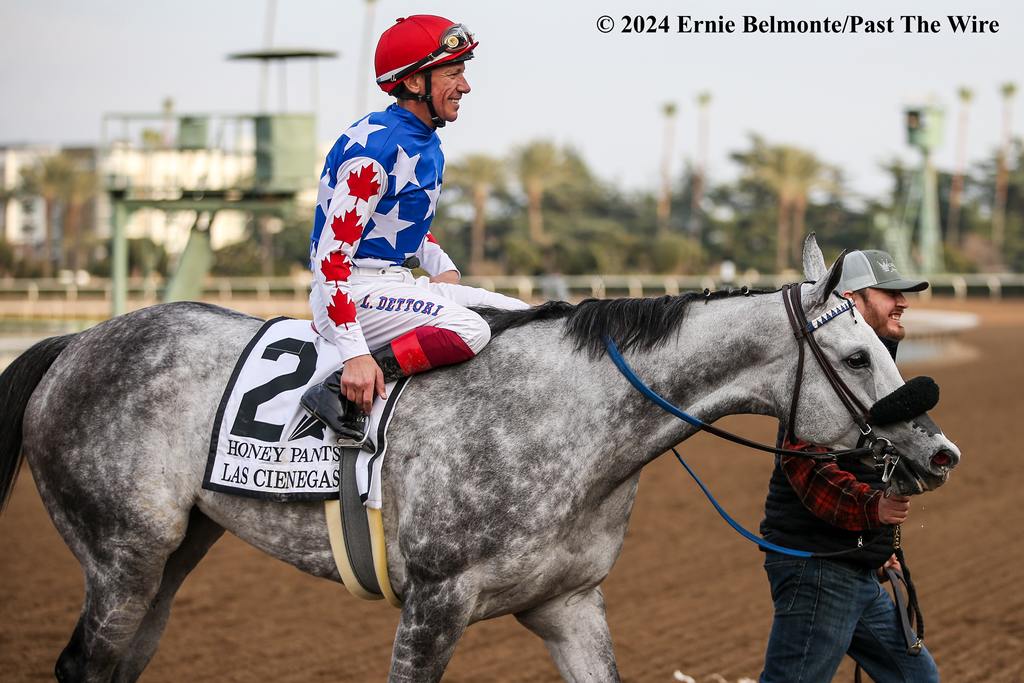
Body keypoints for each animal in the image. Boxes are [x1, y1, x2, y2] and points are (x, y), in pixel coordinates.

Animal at [2, 237, 958, 679]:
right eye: (862, 355)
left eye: (884, 342)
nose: (941, 450)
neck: (569, 421)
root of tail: (77, 342)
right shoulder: (435, 602)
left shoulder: (567, 601)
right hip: (121, 555)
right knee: (83, 663)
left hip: (173, 553)